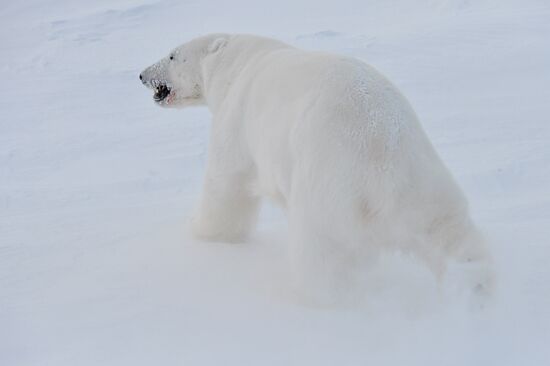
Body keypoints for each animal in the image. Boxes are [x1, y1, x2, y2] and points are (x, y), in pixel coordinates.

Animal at [140, 33, 494, 304]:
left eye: (172, 55)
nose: (142, 74)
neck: (239, 62)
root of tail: (382, 161)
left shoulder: (238, 119)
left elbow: (226, 183)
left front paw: (201, 231)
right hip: (422, 178)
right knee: (450, 232)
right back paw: (476, 286)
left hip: (328, 186)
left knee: (325, 253)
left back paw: (323, 297)